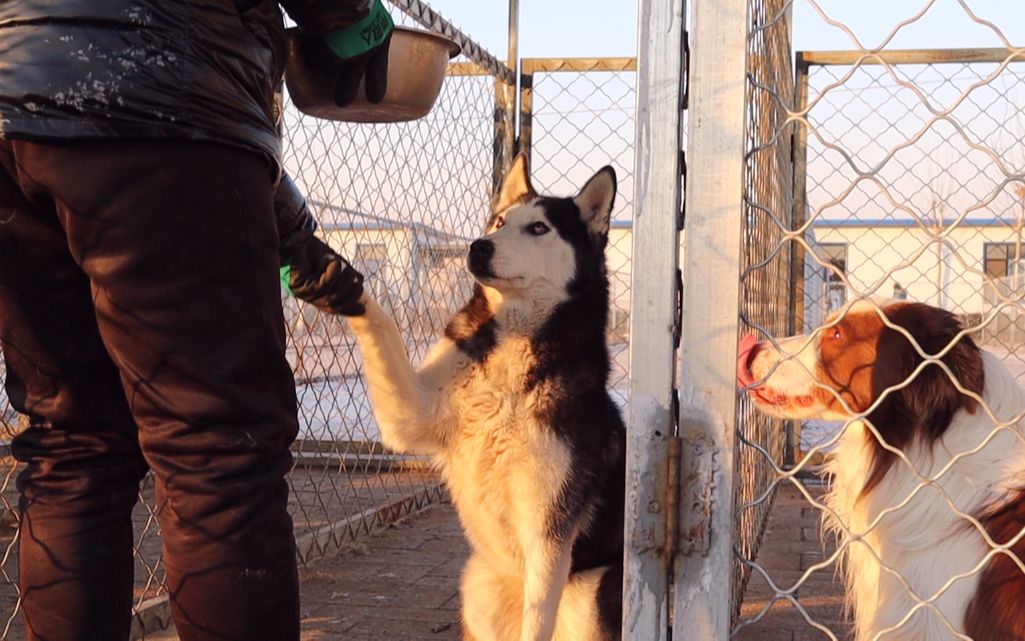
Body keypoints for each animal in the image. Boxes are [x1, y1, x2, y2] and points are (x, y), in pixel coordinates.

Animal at [346, 154, 623, 639]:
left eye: (538, 228)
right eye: (498, 222)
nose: (478, 247)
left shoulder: (548, 535)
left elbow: (539, 617)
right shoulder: (411, 412)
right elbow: (380, 322)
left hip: (591, 593)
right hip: (477, 588)